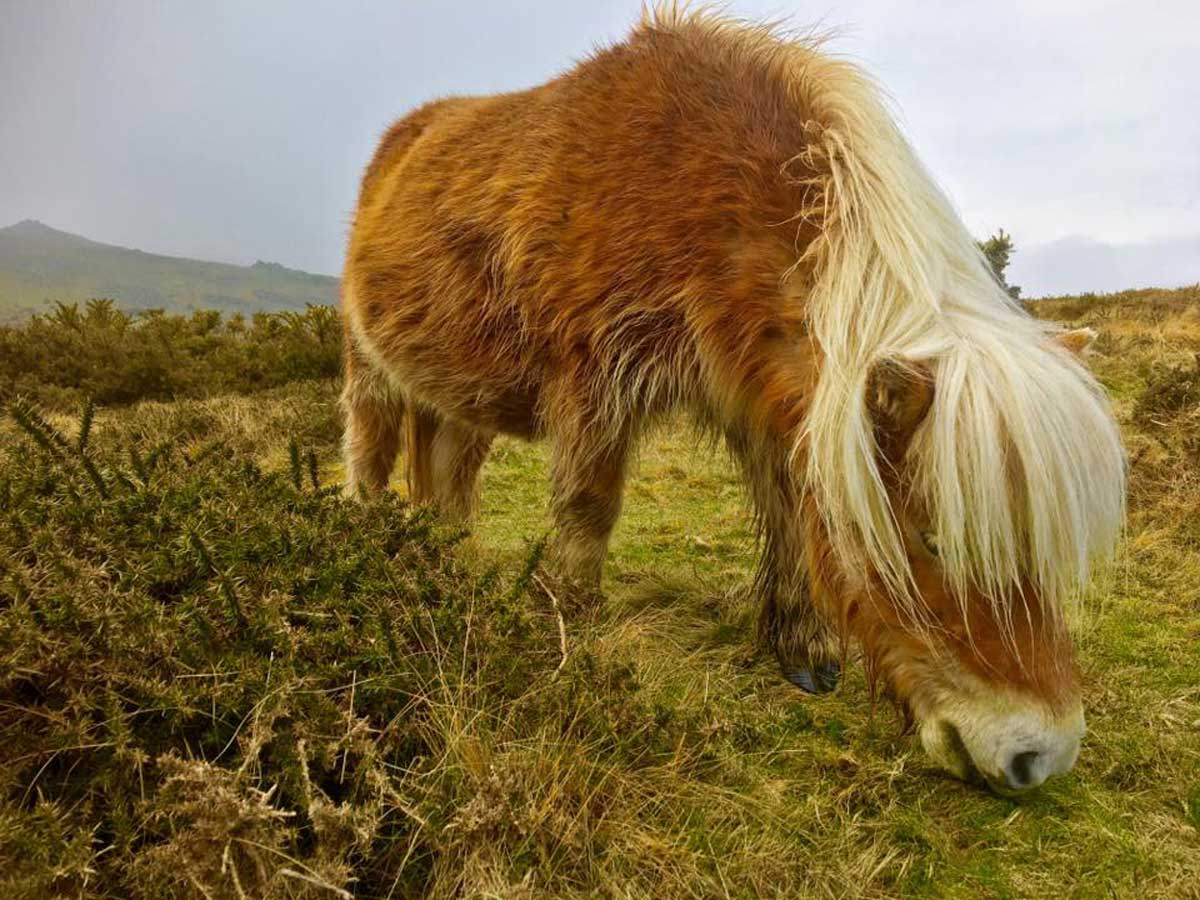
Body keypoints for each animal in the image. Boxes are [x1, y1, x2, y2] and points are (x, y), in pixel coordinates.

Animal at [338, 8, 1125, 793]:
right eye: (932, 541)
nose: (1041, 756)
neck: (696, 185)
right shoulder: (593, 383)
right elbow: (589, 509)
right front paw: (569, 629)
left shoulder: (759, 396)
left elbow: (790, 511)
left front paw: (802, 650)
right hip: (371, 372)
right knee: (369, 461)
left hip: (460, 403)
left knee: (450, 482)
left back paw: (445, 565)